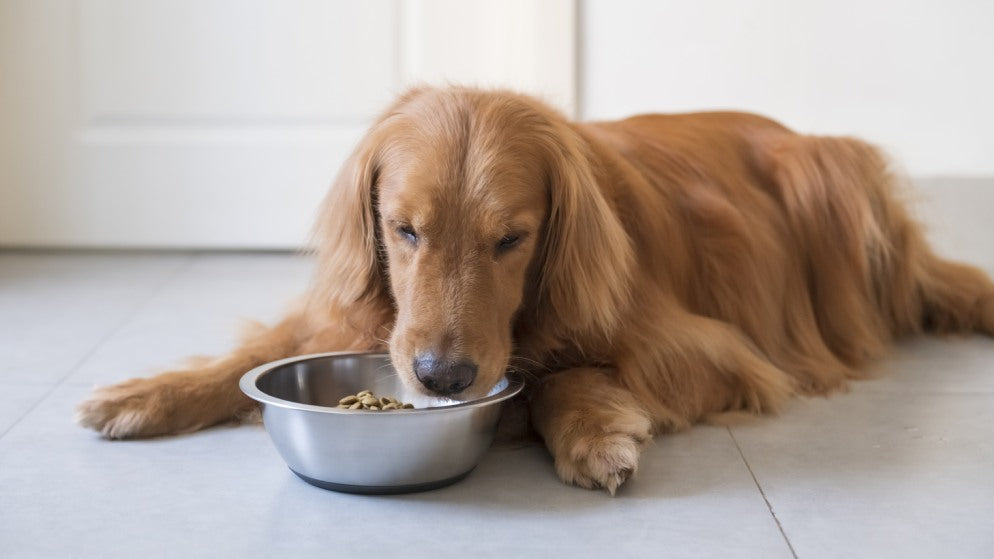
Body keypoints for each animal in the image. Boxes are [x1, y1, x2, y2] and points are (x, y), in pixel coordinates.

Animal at [77, 85, 992, 492]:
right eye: (404, 229)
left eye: (511, 239)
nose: (442, 377)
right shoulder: (361, 314)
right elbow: (257, 353)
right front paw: (145, 392)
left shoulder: (711, 351)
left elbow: (558, 375)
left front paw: (591, 431)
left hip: (835, 192)